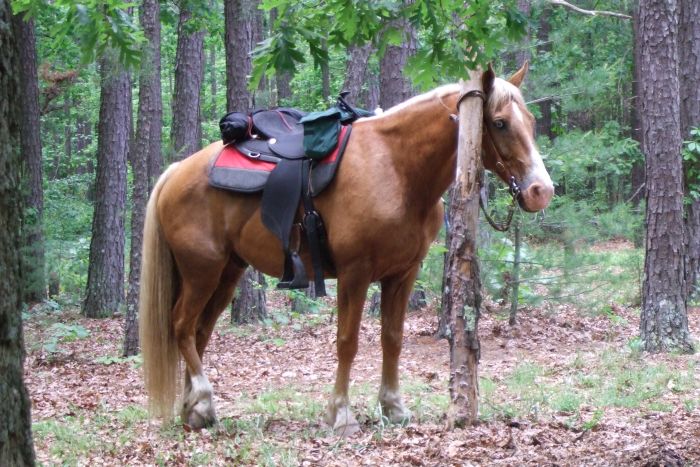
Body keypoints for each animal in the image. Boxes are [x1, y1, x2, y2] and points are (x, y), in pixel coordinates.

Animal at [138, 62, 552, 436]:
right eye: (499, 122)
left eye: (532, 122)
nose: (541, 191)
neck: (397, 169)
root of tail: (175, 172)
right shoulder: (355, 273)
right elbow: (347, 342)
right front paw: (340, 414)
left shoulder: (403, 273)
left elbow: (392, 338)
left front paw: (393, 408)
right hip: (201, 272)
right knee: (182, 325)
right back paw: (204, 402)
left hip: (227, 273)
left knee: (199, 331)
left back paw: (193, 410)